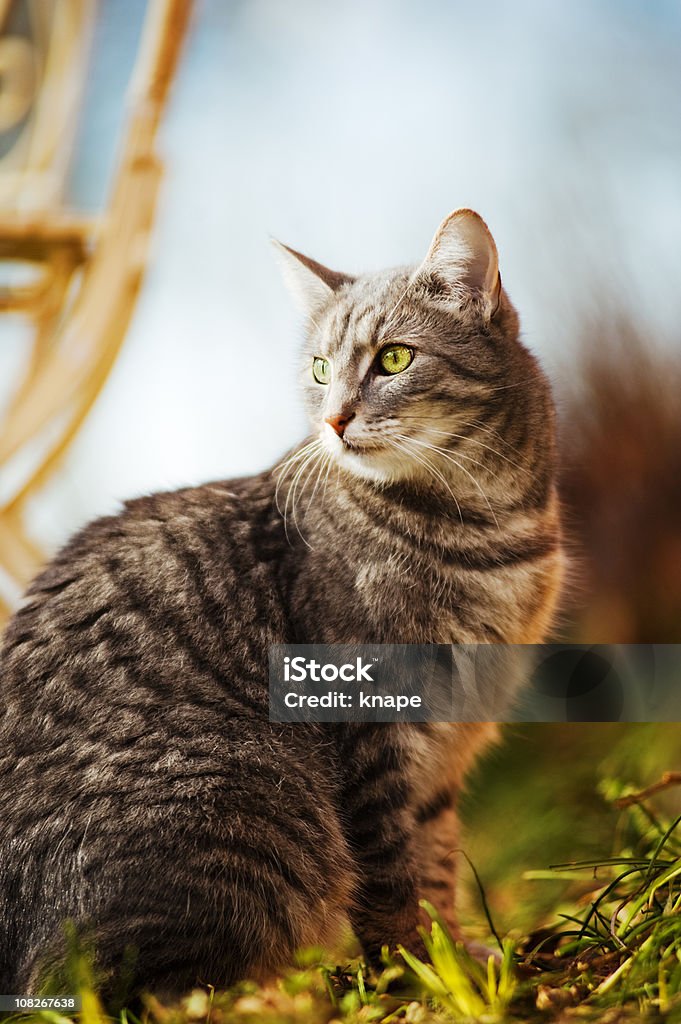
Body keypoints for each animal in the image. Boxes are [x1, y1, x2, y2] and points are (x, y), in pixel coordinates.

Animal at [0, 207, 561, 999]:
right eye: (321, 370)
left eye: (393, 359)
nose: (333, 419)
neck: (487, 534)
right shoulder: (368, 721)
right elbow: (392, 873)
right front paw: (419, 973)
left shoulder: (445, 749)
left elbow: (436, 859)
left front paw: (454, 954)